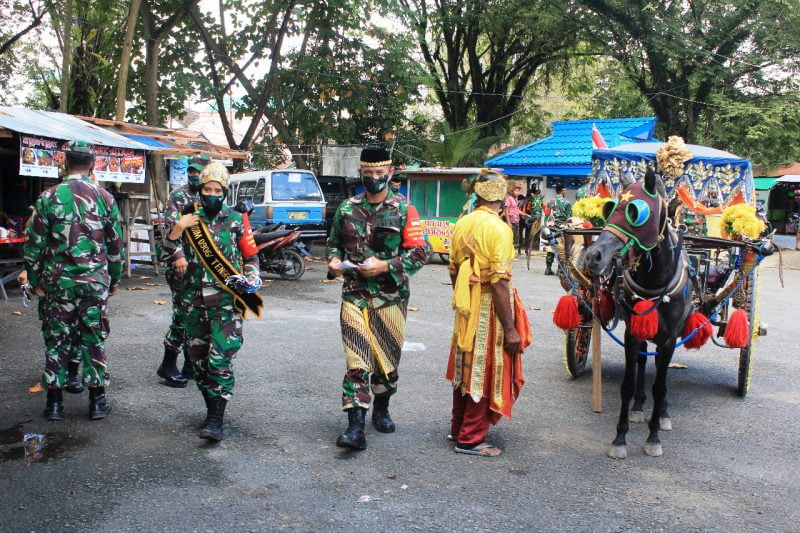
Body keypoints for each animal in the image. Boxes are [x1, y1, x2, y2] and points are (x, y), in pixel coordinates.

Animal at [580, 169, 692, 458]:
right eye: (609, 208)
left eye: (635, 212)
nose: (593, 256)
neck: (655, 280)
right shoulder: (632, 333)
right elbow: (628, 385)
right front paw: (620, 437)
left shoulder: (668, 339)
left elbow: (660, 386)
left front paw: (653, 437)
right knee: (643, 363)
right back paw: (639, 407)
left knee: (661, 377)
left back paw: (662, 414)